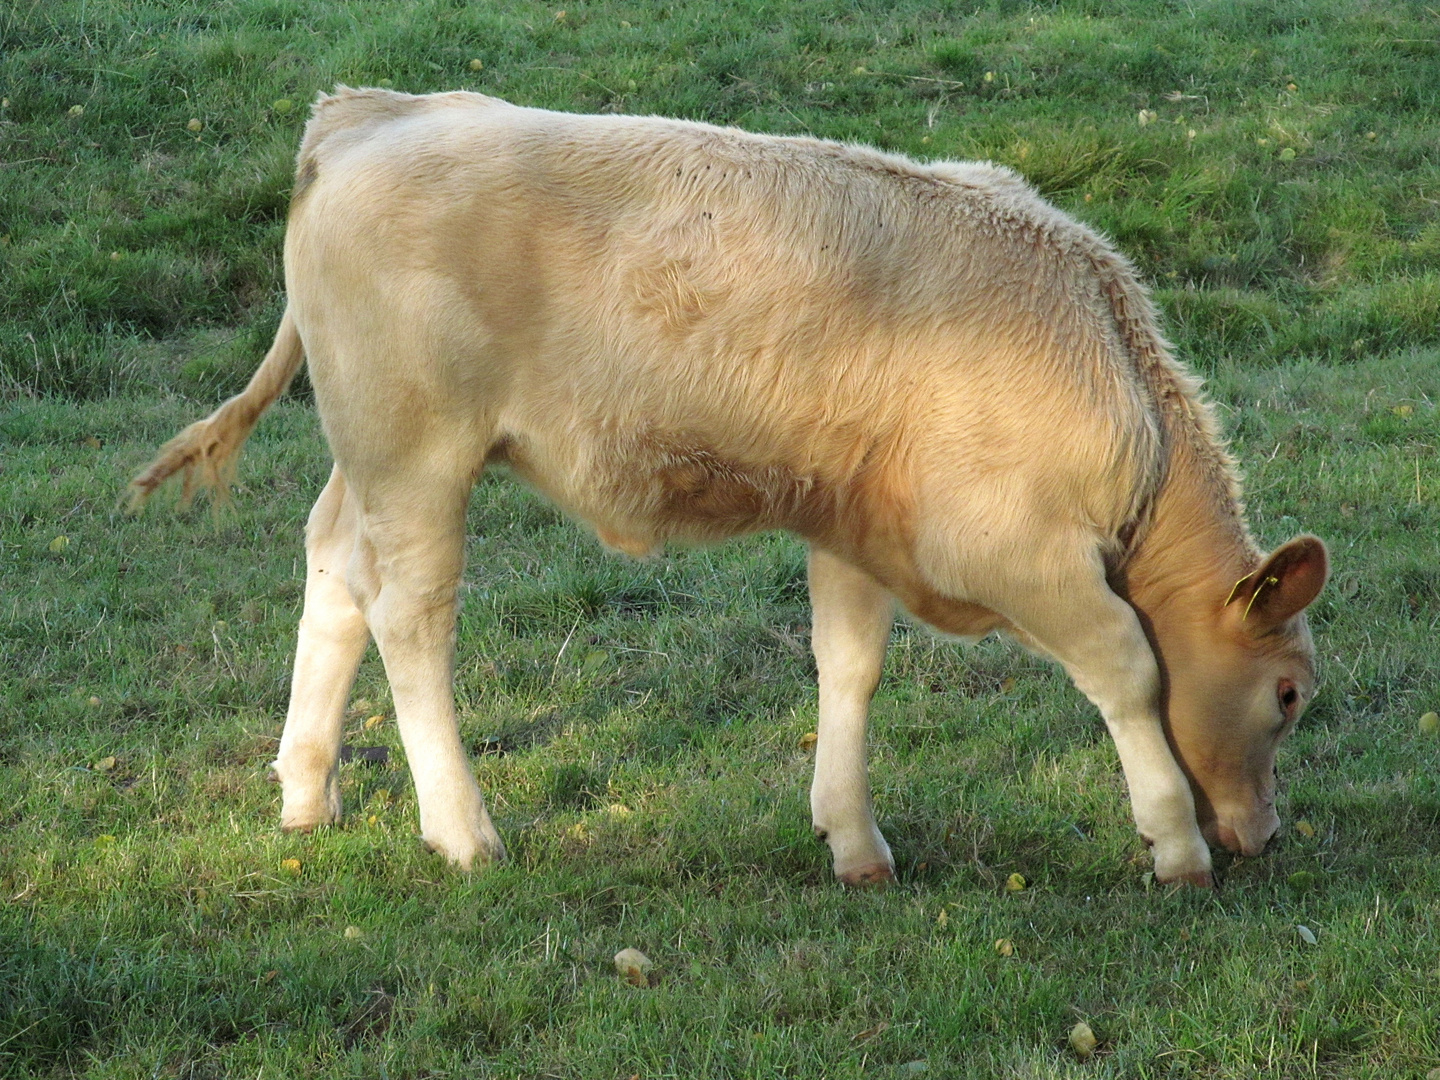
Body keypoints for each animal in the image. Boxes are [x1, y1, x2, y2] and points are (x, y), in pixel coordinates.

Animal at [135, 91, 1324, 887]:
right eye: (1288, 695)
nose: (1264, 837)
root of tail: (370, 112)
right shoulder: (1019, 548)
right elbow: (1128, 670)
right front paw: (1174, 842)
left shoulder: (859, 521)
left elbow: (849, 667)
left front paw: (853, 838)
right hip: (421, 454)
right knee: (410, 620)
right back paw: (464, 831)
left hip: (370, 456)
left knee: (335, 570)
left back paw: (306, 793)